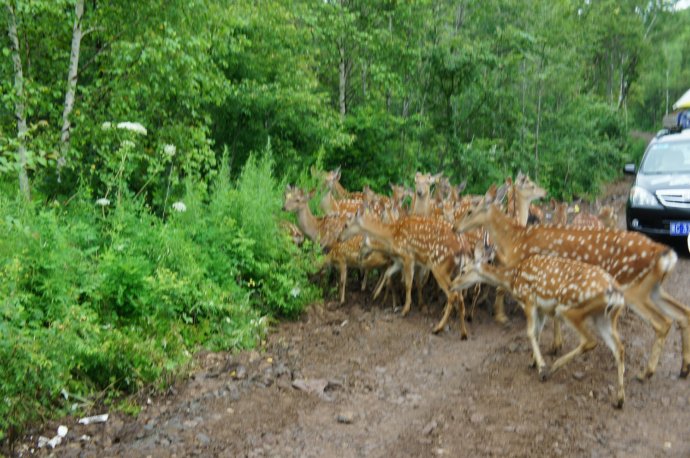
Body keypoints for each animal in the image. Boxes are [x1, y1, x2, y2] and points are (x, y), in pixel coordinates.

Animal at [339, 208, 472, 337]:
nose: (338, 238)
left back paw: (437, 328)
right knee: (460, 298)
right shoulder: (400, 260)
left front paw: (405, 310)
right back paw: (463, 333)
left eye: (346, 225)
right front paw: (375, 295)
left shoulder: (408, 256)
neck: (391, 235)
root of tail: (463, 248)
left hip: (439, 266)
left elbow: (408, 284)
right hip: (457, 271)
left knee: (452, 296)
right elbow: (389, 273)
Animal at [452, 251, 626, 408]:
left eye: (463, 270)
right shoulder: (541, 308)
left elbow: (530, 332)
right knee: (619, 348)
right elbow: (537, 331)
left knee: (589, 340)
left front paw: (540, 365)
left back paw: (550, 369)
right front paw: (532, 361)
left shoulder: (528, 299)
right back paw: (619, 400)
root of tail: (616, 294)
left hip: (570, 309)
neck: (512, 279)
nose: (452, 285)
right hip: (605, 318)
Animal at [456, 194, 690, 380]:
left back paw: (646, 373)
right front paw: (545, 354)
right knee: (682, 314)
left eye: (469, 210)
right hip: (654, 288)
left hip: (634, 289)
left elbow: (542, 323)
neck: (514, 241)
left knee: (662, 323)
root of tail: (664, 254)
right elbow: (547, 319)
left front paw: (544, 356)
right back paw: (682, 369)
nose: (454, 227)